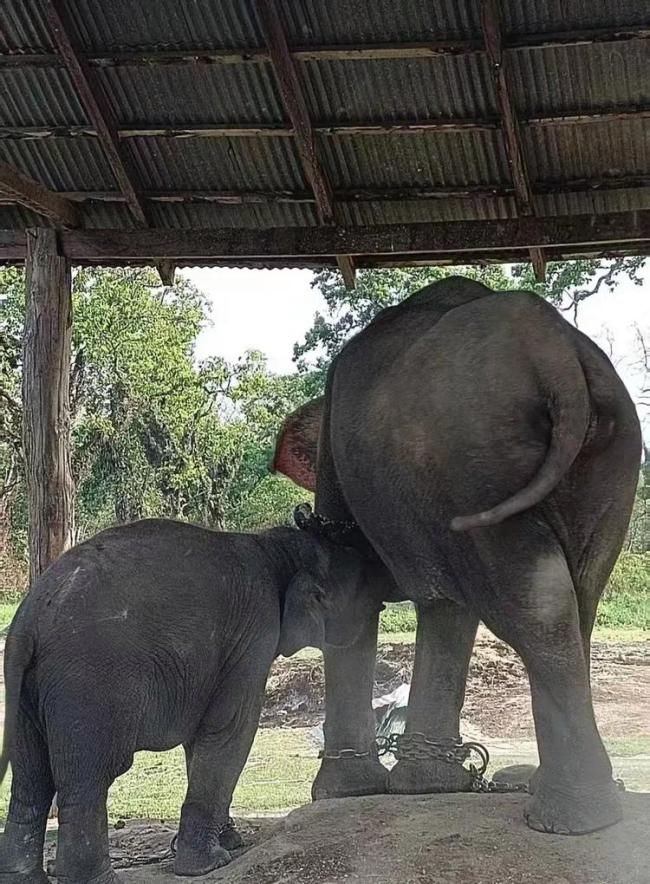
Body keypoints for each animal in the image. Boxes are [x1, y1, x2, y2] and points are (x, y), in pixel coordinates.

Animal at [0, 514, 380, 883]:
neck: (275, 547)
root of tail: (29, 620)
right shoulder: (256, 630)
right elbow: (232, 729)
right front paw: (211, 863)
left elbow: (201, 738)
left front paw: (228, 841)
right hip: (90, 683)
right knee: (89, 778)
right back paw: (99, 879)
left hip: (25, 691)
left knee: (31, 779)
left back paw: (23, 878)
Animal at [273, 276, 641, 835]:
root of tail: (555, 352)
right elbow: (446, 605)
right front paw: (428, 786)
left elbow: (353, 591)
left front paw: (344, 794)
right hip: (607, 459)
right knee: (581, 595)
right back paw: (573, 803)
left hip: (475, 458)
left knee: (536, 599)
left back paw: (570, 817)